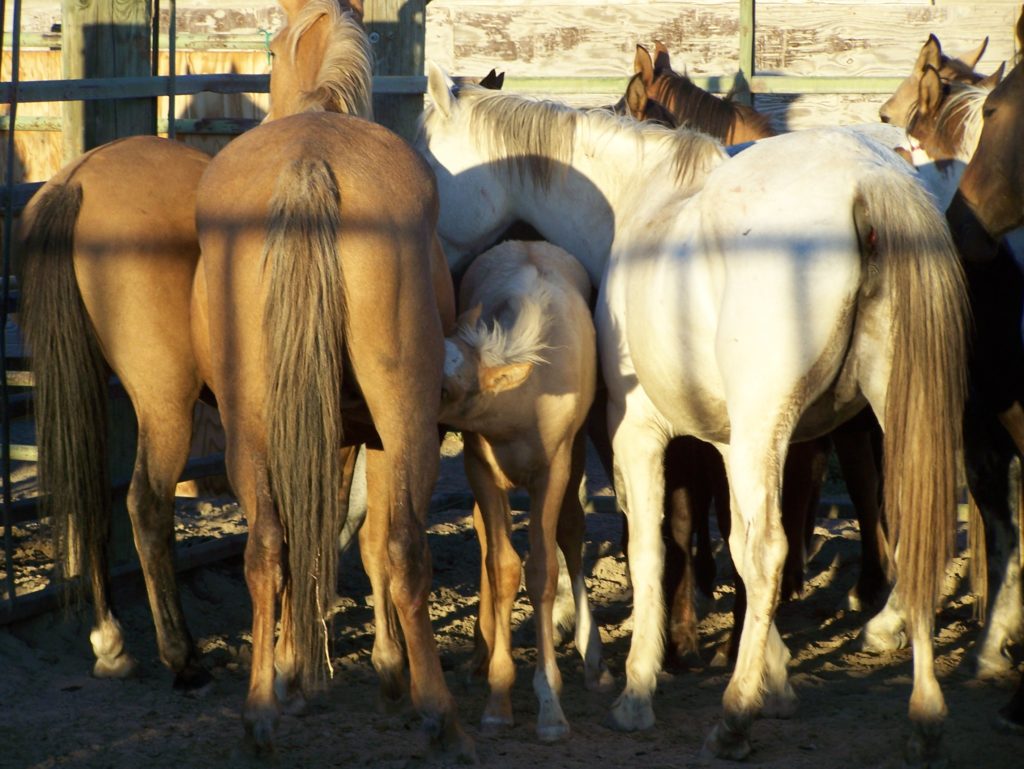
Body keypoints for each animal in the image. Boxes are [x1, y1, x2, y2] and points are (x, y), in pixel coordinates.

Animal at [15, 0, 371, 696]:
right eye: (270, 53)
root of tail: (76, 178)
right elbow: (318, 519)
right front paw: (303, 644)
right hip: (165, 401)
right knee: (147, 506)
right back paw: (182, 656)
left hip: (94, 386)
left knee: (93, 497)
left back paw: (112, 642)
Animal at [438, 239, 614, 740]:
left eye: (446, 389)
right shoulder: (480, 468)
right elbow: (503, 567)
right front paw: (498, 699)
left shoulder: (551, 472)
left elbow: (541, 570)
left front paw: (550, 706)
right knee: (484, 537)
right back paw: (479, 657)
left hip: (577, 454)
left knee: (571, 533)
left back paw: (594, 663)